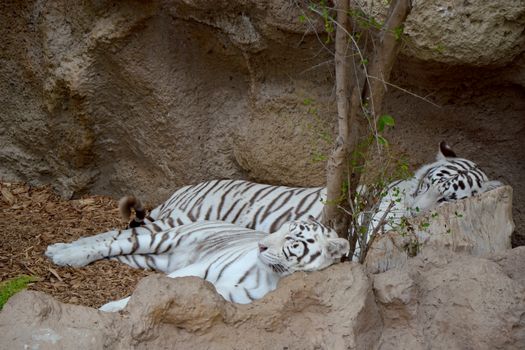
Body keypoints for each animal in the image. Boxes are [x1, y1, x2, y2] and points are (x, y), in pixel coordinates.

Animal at [45, 216, 348, 312]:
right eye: (281, 228)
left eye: (292, 238)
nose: (261, 245)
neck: (270, 276)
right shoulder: (195, 270)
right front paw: (109, 308)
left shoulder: (229, 295)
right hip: (160, 240)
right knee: (111, 242)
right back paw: (62, 252)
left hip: (148, 258)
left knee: (115, 249)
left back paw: (61, 251)